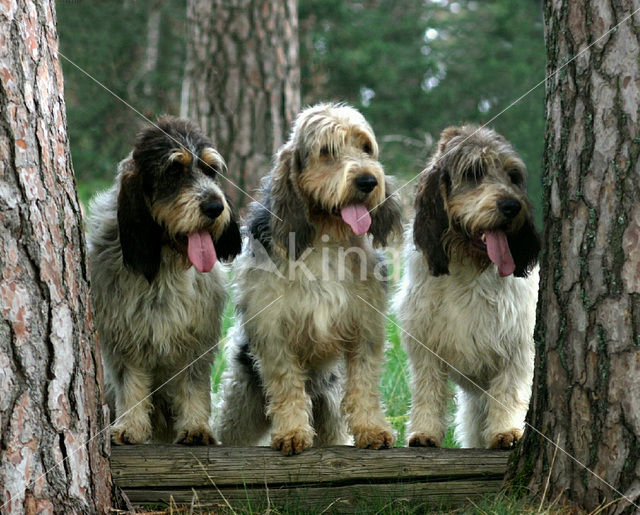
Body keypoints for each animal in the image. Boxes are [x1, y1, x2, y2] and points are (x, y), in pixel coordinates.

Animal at [86, 119, 241, 446]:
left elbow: (193, 385)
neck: (166, 265)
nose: (215, 207)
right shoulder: (124, 336)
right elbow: (130, 383)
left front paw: (196, 428)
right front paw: (130, 427)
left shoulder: (196, 339)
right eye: (173, 171)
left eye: (211, 170)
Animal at [218, 102, 402, 456]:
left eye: (366, 147)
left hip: (330, 409)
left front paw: (372, 430)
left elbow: (364, 384)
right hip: (241, 400)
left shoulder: (365, 326)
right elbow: (286, 385)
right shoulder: (273, 331)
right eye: (326, 151)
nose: (369, 181)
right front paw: (292, 432)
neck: (325, 236)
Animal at [396, 127, 540, 450]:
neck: (469, 266)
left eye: (513, 176)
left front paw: (507, 431)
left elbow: (510, 391)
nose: (512, 206)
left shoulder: (518, 345)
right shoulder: (425, 343)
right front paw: (424, 433)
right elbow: (428, 390)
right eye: (474, 172)